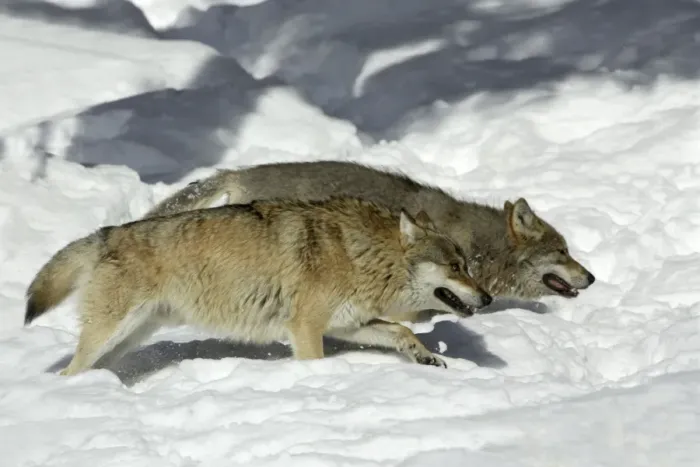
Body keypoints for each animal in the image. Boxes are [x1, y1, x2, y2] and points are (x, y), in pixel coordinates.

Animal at [25, 196, 492, 375]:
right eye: (455, 267)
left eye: (468, 266)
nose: (488, 298)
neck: (359, 253)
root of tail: (107, 234)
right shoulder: (305, 328)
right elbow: (316, 362)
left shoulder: (346, 324)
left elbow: (401, 330)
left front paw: (426, 357)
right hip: (109, 332)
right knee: (70, 370)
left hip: (126, 339)